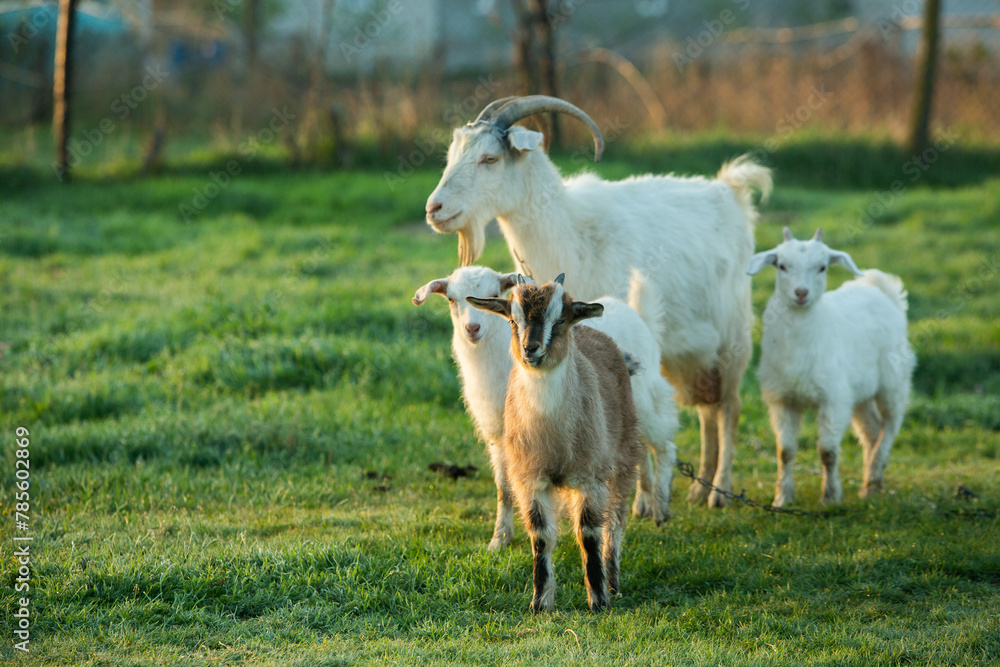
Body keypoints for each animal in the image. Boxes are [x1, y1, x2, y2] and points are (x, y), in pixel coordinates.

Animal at [425, 95, 772, 507]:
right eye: (452, 154)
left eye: (489, 158)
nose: (434, 209)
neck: (571, 234)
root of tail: (729, 191)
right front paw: (640, 498)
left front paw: (637, 498)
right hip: (691, 356)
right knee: (708, 411)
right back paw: (699, 488)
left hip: (732, 336)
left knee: (729, 408)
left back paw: (719, 490)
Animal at [468, 274, 643, 612]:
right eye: (513, 320)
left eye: (559, 320)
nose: (530, 349)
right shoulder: (529, 479)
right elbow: (540, 536)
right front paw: (540, 602)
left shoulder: (590, 477)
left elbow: (588, 533)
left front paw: (598, 600)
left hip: (624, 459)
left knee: (615, 521)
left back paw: (613, 581)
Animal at [748, 227, 915, 506]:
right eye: (781, 265)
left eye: (822, 267)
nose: (801, 293)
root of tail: (879, 289)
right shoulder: (783, 399)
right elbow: (785, 451)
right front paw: (781, 499)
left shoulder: (833, 400)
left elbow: (827, 451)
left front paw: (830, 497)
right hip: (858, 393)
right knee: (872, 430)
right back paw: (871, 484)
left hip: (893, 381)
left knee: (891, 425)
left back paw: (874, 475)